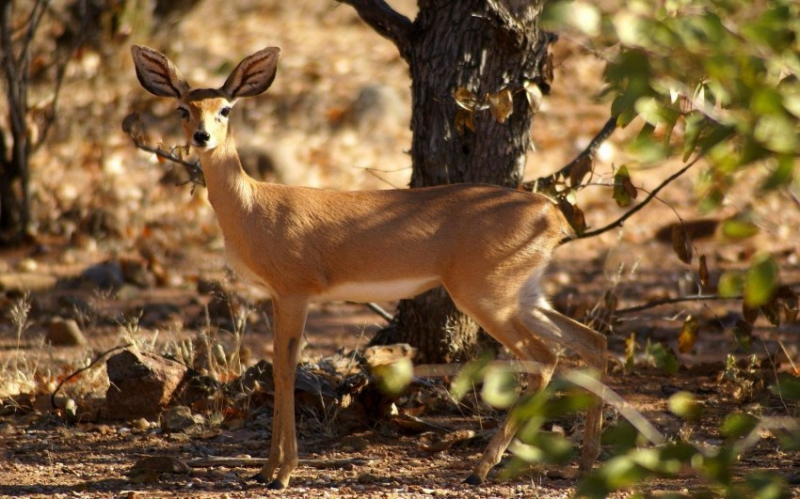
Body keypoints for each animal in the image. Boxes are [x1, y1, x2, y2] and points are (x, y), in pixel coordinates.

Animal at [131, 45, 608, 490]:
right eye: (183, 107)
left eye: (225, 108)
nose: (201, 136)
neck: (253, 207)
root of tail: (552, 213)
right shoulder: (278, 296)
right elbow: (281, 368)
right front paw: (266, 470)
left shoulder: (295, 293)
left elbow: (285, 370)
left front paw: (281, 473)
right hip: (524, 294)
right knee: (591, 342)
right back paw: (585, 464)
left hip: (486, 297)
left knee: (545, 358)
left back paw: (481, 469)